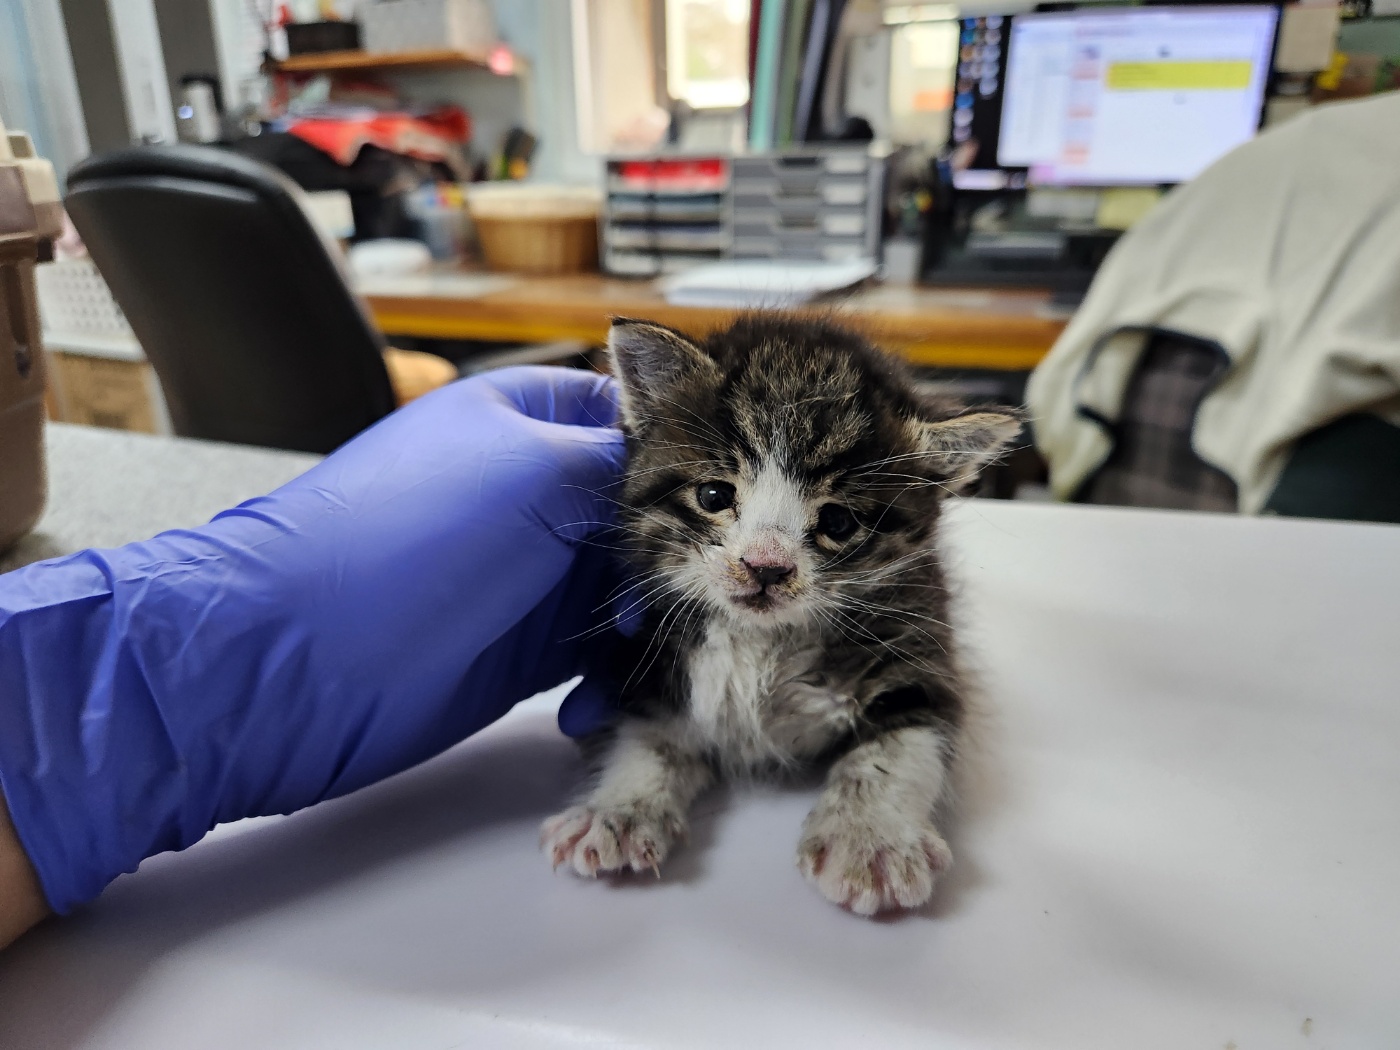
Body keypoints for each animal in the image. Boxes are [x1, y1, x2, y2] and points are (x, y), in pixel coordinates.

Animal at [537, 316, 1019, 918]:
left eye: (837, 522)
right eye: (713, 494)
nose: (765, 567)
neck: (761, 638)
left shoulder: (919, 626)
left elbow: (902, 741)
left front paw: (871, 837)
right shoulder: (645, 645)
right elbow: (648, 738)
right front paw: (617, 812)